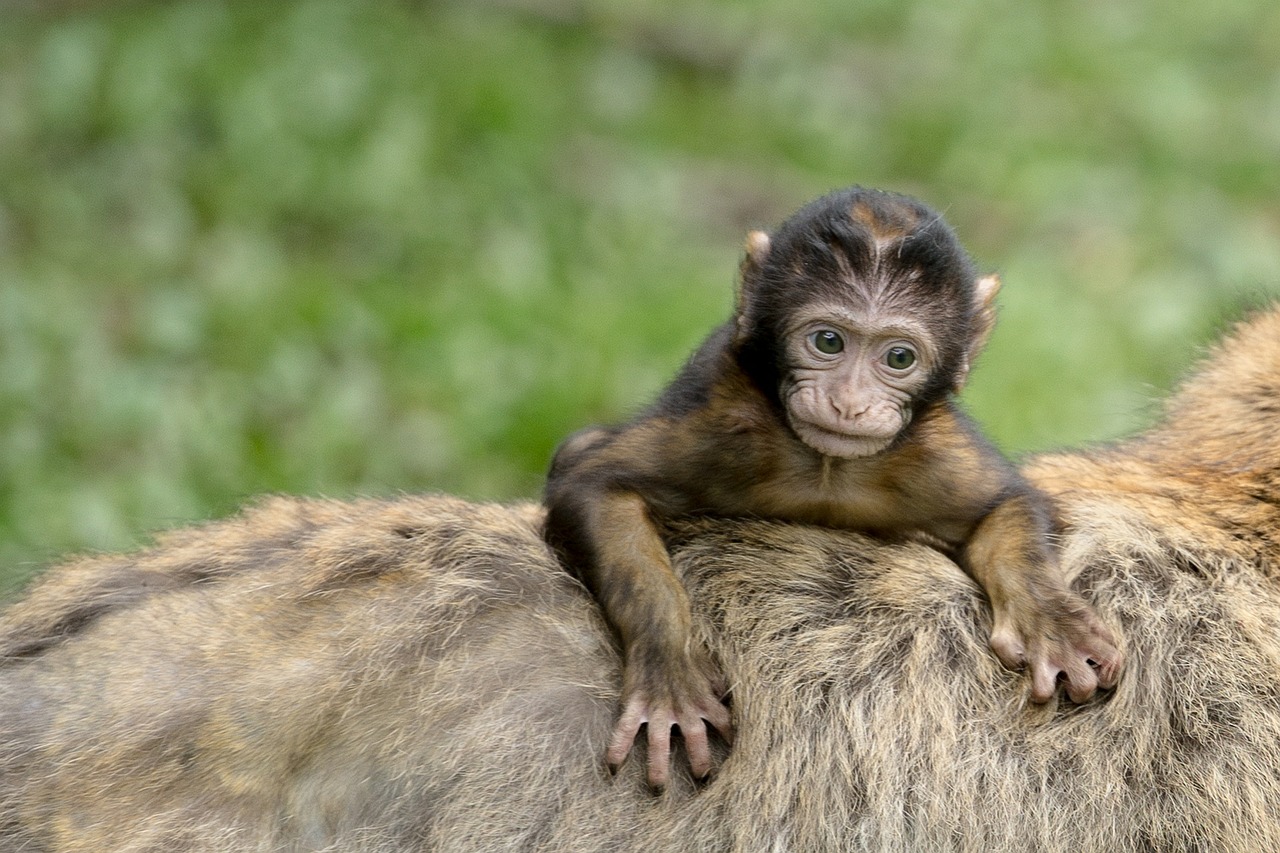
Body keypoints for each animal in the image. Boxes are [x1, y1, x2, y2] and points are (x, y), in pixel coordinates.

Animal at [545, 185, 1126, 783]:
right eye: (828, 342)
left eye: (899, 357)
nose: (848, 402)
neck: (826, 466)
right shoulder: (726, 421)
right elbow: (593, 482)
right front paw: (670, 679)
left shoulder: (930, 453)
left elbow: (1006, 505)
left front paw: (1051, 622)